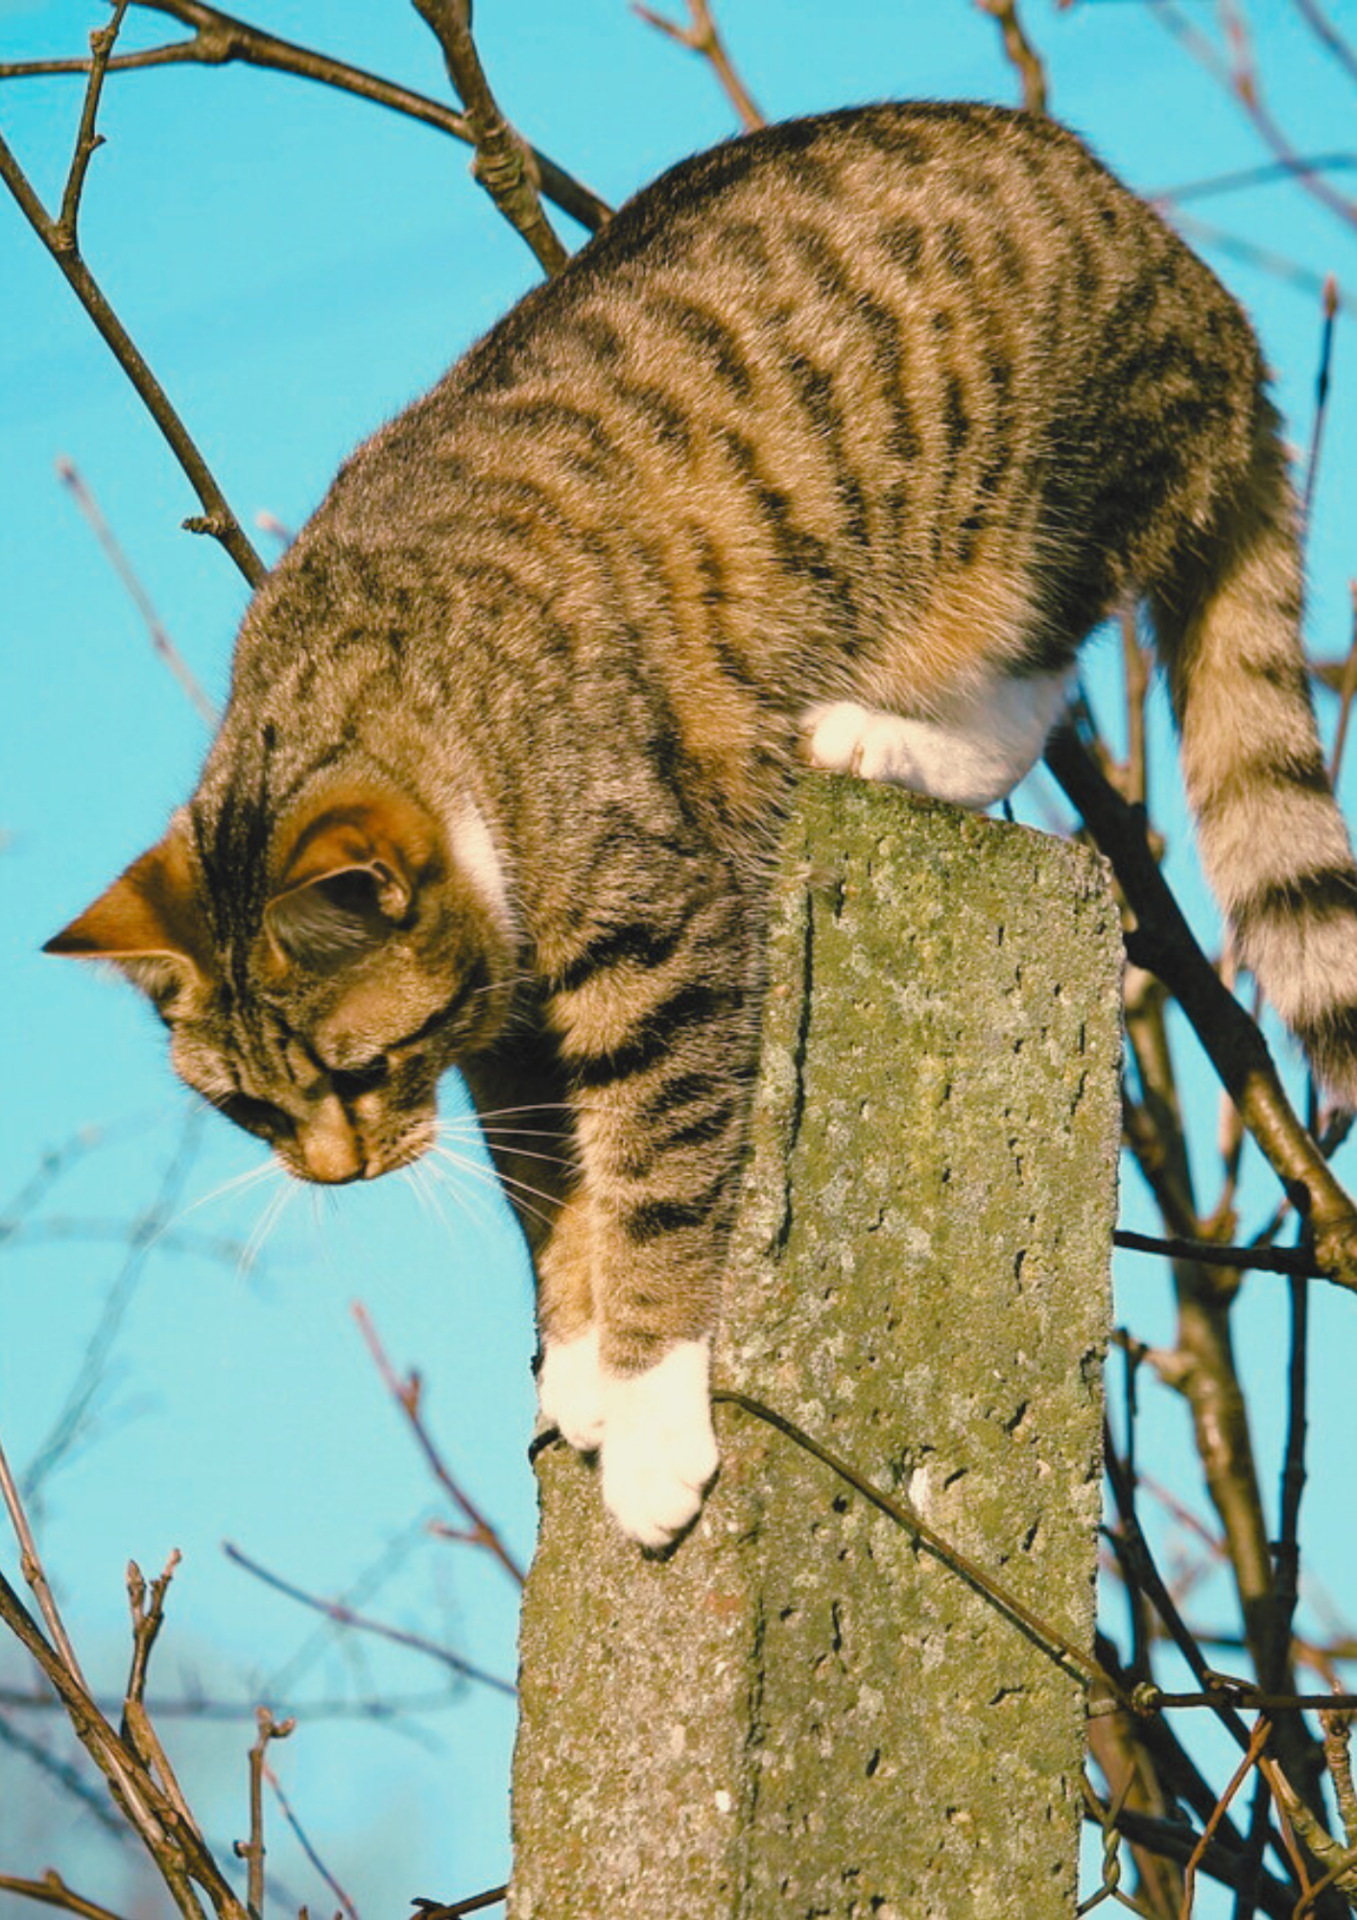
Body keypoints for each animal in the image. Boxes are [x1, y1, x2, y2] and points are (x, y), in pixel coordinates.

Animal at [47, 101, 1357, 1543]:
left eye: (355, 1071)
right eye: (248, 1109)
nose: (337, 1176)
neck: (411, 691)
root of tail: (1186, 275)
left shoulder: (662, 948)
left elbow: (659, 1179)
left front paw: (649, 1411)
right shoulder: (503, 1040)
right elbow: (552, 1196)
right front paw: (576, 1354)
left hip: (1032, 512)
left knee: (1035, 678)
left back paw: (876, 736)